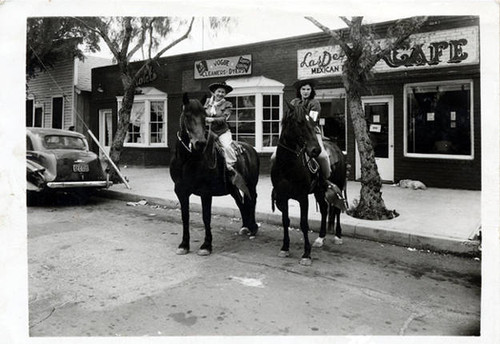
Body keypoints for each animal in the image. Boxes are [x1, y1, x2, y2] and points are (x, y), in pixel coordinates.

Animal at [170, 93, 260, 255]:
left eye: (204, 117)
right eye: (187, 115)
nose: (200, 143)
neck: (187, 159)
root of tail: (251, 149)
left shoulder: (205, 192)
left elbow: (206, 217)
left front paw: (206, 245)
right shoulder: (181, 191)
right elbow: (185, 217)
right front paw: (184, 244)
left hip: (251, 184)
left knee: (252, 200)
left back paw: (253, 226)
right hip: (233, 188)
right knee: (241, 202)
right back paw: (245, 226)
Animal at [270, 101, 348, 264]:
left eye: (313, 122)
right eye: (299, 122)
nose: (315, 150)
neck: (287, 165)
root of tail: (337, 149)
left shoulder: (302, 197)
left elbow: (304, 224)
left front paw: (306, 254)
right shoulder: (283, 196)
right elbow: (285, 221)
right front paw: (285, 248)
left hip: (338, 185)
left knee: (336, 210)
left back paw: (338, 236)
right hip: (319, 191)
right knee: (324, 209)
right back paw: (320, 238)